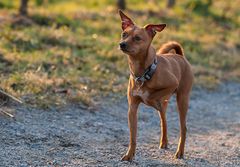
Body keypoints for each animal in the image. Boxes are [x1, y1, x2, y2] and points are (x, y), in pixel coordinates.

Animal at [119, 10, 194, 160]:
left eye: (137, 38)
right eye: (124, 34)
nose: (122, 44)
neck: (143, 72)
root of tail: (181, 57)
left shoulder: (172, 83)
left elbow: (153, 95)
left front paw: (150, 97)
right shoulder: (132, 109)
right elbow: (133, 137)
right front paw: (129, 155)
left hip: (182, 99)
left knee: (183, 127)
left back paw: (180, 152)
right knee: (163, 120)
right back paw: (164, 141)